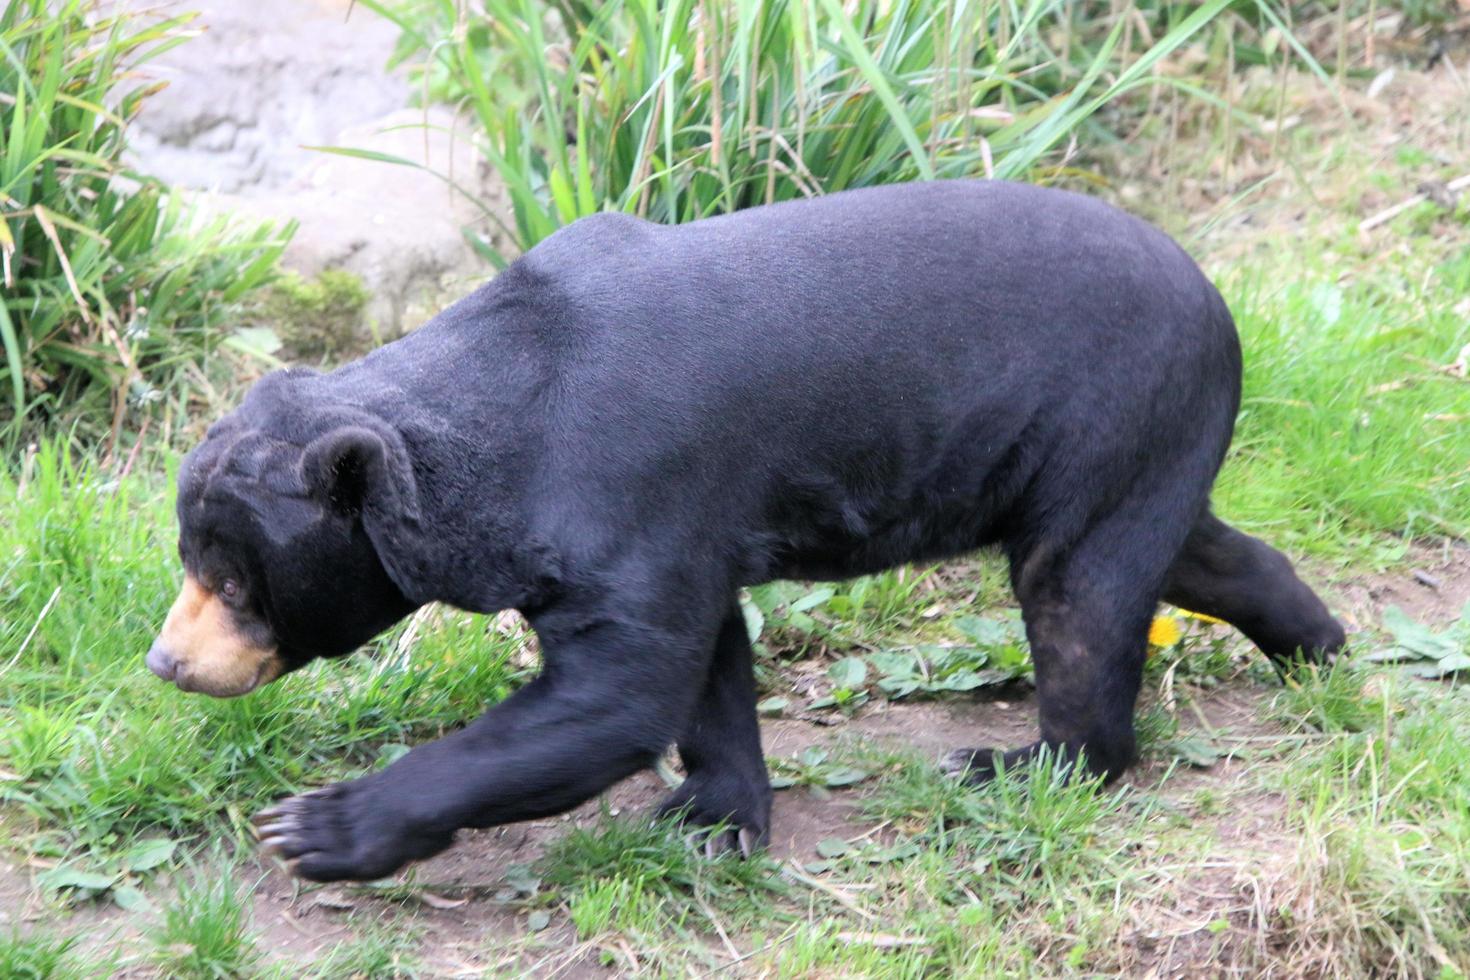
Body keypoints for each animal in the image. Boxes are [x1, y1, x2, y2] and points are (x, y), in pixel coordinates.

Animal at [146, 179, 1346, 887]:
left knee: (1079, 599)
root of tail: (1217, 299)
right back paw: (1319, 645)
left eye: (235, 582)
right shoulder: (678, 529)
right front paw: (713, 814)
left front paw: (313, 828)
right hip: (1123, 443)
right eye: (189, 564)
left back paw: (1022, 762)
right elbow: (703, 667)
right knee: (1188, 551)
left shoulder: (627, 493)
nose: (167, 661)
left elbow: (616, 695)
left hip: (1101, 413)